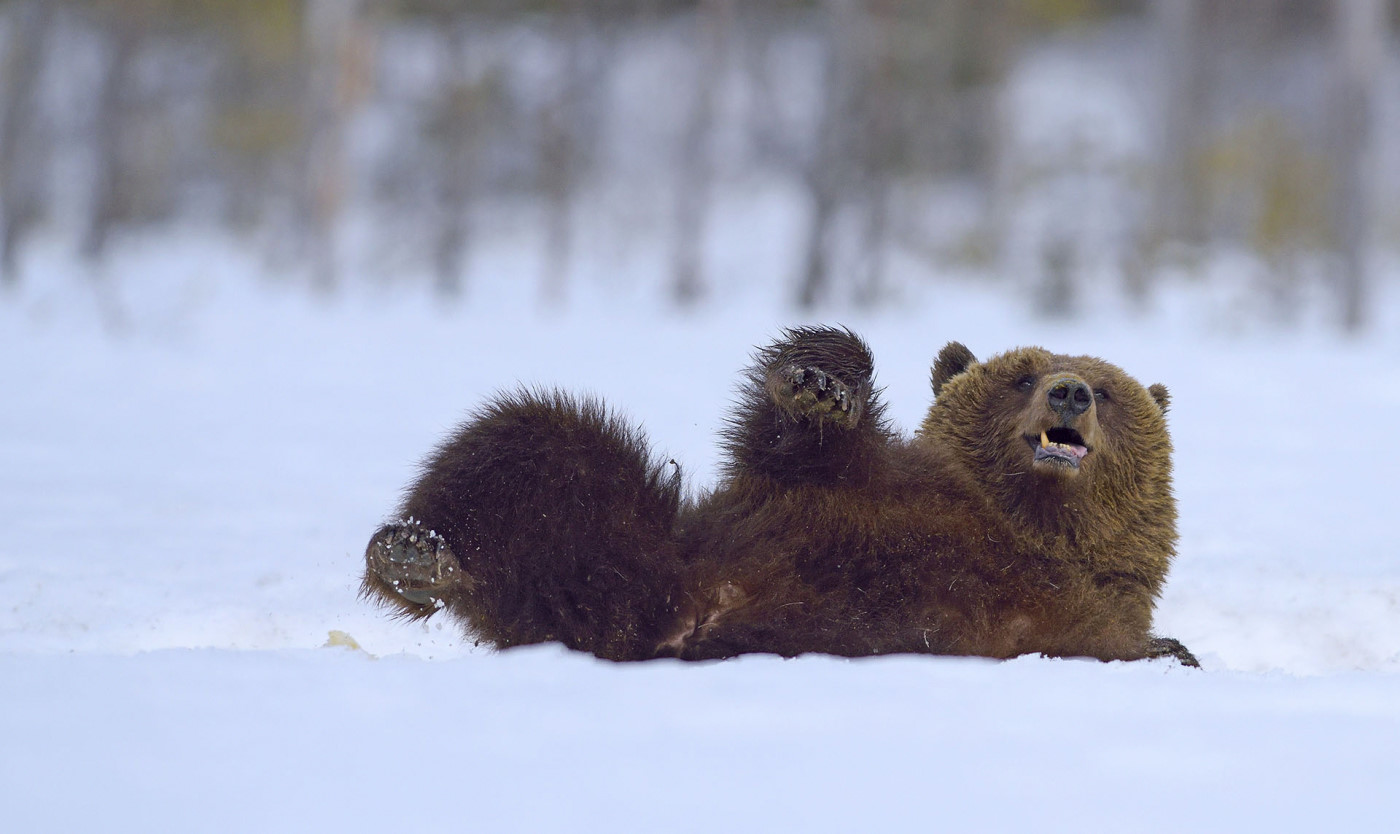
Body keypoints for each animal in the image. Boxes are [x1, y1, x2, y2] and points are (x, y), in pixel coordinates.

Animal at [358, 324, 1192, 663]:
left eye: (1111, 391)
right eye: (1021, 375)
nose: (1069, 390)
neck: (1027, 524)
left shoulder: (1080, 610)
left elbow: (1117, 643)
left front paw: (1174, 651)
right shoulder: (860, 487)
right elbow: (793, 441)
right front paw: (819, 384)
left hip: (609, 584)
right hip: (642, 543)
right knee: (529, 439)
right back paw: (415, 552)